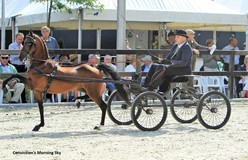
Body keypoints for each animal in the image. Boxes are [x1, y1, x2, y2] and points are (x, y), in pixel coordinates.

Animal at [2, 30, 130, 132]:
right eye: (23, 42)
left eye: (29, 42)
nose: (20, 57)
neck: (41, 65)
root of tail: (96, 68)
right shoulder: (37, 90)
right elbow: (40, 107)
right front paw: (40, 125)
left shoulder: (33, 86)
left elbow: (16, 75)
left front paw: (3, 85)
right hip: (85, 89)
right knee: (88, 98)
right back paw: (77, 101)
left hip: (93, 92)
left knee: (103, 106)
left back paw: (99, 125)